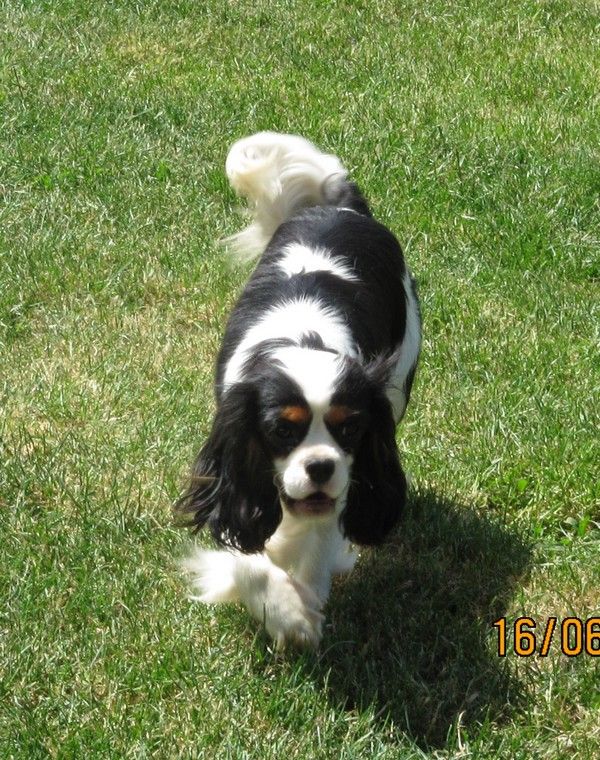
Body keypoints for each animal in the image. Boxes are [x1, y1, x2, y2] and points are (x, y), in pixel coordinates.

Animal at [177, 132, 421, 648]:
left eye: (350, 430)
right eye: (282, 431)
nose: (321, 466)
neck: (301, 340)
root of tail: (343, 207)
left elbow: (320, 539)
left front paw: (303, 602)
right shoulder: (233, 468)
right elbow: (247, 557)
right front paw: (288, 613)